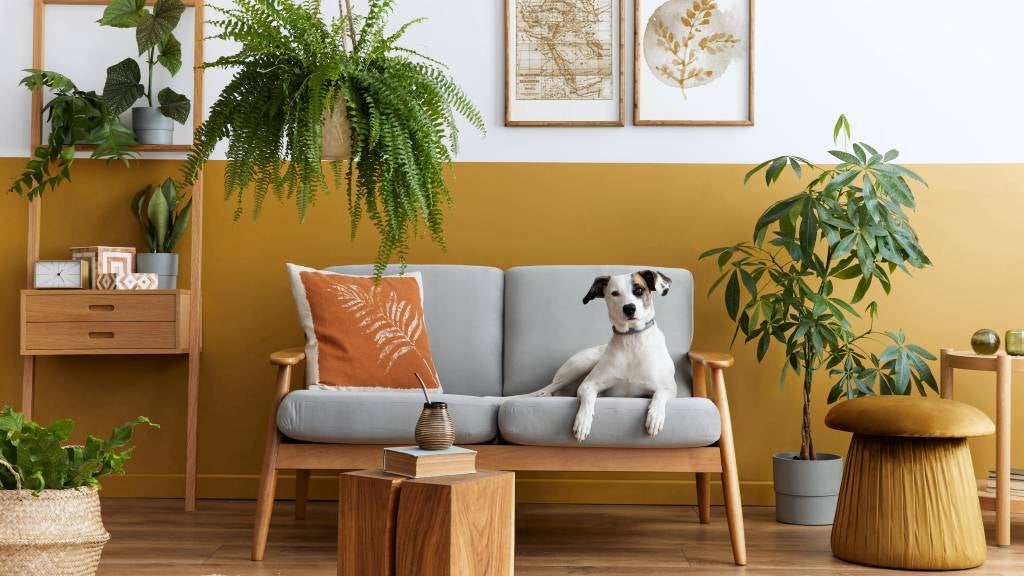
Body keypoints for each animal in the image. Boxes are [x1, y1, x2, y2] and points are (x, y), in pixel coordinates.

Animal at [528, 268, 679, 438]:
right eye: (615, 293)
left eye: (639, 290)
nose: (629, 308)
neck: (632, 339)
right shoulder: (587, 385)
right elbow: (588, 398)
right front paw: (582, 421)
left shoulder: (669, 387)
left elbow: (659, 395)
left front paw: (655, 416)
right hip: (579, 366)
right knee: (544, 391)